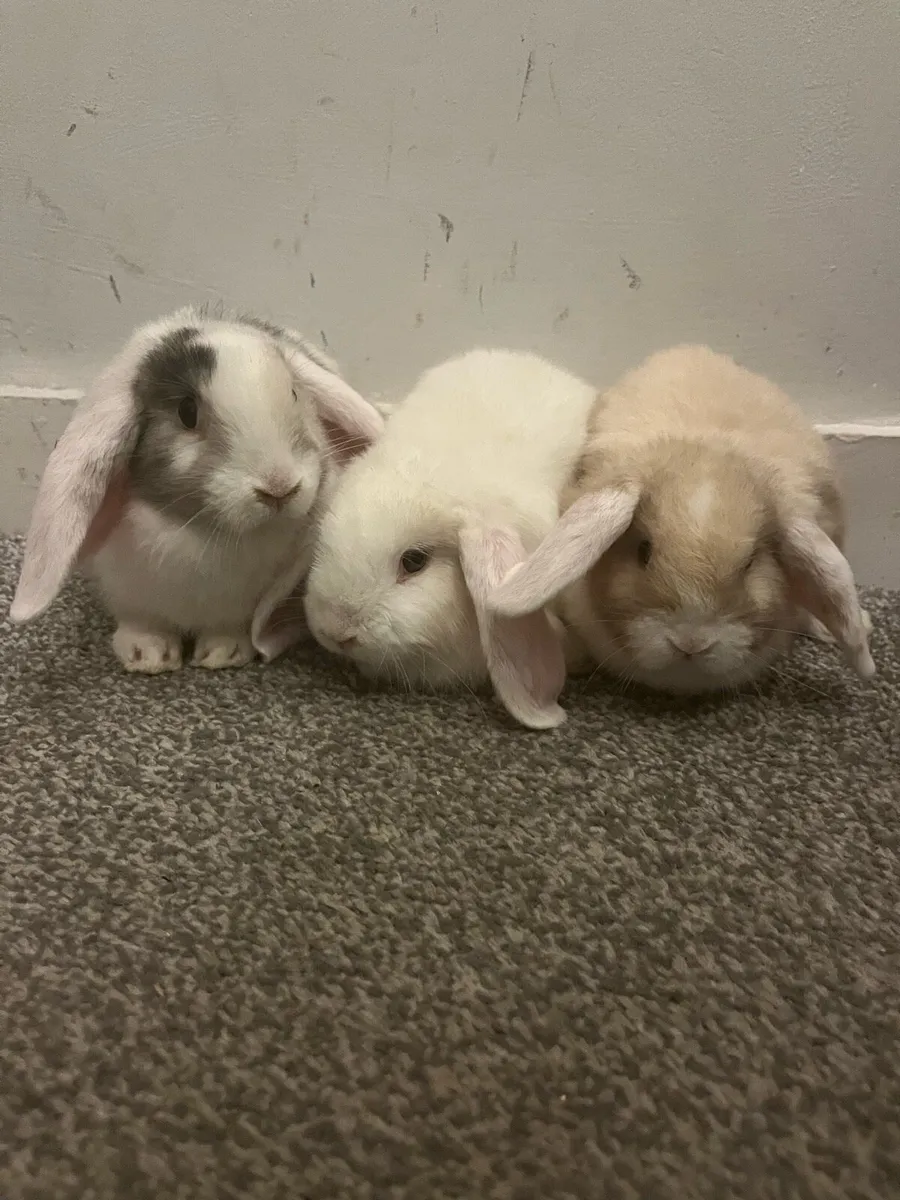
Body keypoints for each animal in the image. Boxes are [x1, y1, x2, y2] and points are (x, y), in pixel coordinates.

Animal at [9, 308, 384, 672]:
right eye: (186, 411)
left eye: (294, 393)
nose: (279, 488)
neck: (211, 533)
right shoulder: (129, 595)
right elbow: (143, 623)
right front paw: (149, 657)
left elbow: (228, 629)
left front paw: (223, 654)